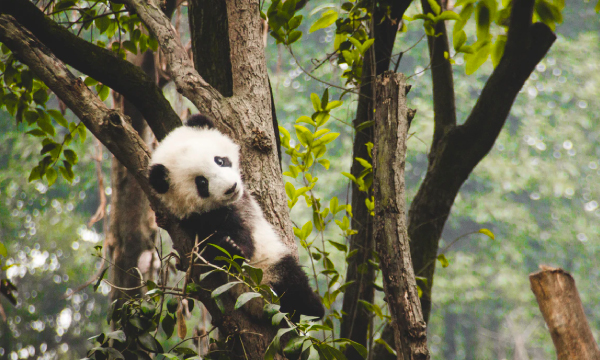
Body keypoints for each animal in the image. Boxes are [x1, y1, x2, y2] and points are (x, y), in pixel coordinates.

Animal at [148, 114, 326, 320]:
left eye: (219, 160)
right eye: (201, 182)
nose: (231, 188)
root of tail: (261, 304)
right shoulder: (198, 220)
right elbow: (222, 246)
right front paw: (230, 247)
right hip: (269, 270)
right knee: (293, 281)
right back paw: (314, 307)